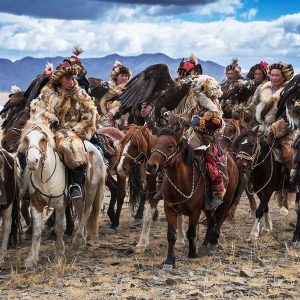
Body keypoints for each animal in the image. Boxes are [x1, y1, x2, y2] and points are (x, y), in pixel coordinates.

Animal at [18, 120, 106, 268]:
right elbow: (36, 230)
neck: (46, 176)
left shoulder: (60, 204)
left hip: (91, 189)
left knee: (86, 212)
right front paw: (31, 258)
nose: (31, 162)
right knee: (80, 212)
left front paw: (59, 256)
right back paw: (81, 239)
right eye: (26, 138)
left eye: (43, 139)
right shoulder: (36, 203)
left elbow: (58, 228)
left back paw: (77, 241)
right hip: (78, 197)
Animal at [145, 127, 239, 268]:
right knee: (211, 222)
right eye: (155, 143)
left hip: (227, 200)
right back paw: (205, 245)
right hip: (209, 206)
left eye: (171, 145)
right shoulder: (169, 208)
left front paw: (192, 252)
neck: (182, 181)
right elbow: (171, 235)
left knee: (220, 219)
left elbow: (191, 233)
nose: (151, 166)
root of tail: (232, 161)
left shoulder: (195, 212)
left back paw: (212, 242)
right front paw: (170, 260)